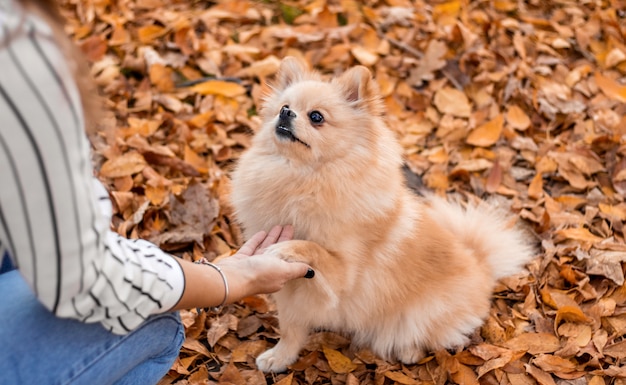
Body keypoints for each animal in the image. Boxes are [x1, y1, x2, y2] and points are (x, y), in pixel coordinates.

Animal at [229, 57, 532, 372]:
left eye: (316, 117)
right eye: (283, 107)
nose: (286, 113)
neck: (303, 178)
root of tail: (481, 265)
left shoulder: (343, 275)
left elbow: (311, 247)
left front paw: (285, 248)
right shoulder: (293, 293)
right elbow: (291, 329)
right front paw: (280, 358)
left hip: (422, 314)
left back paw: (408, 351)